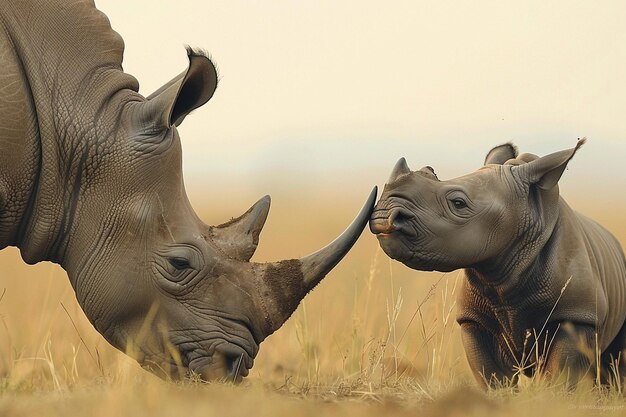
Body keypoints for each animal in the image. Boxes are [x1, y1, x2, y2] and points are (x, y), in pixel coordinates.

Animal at [368, 141, 624, 388]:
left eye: (458, 203)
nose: (383, 216)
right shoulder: (474, 319)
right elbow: (492, 376)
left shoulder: (576, 314)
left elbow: (560, 376)